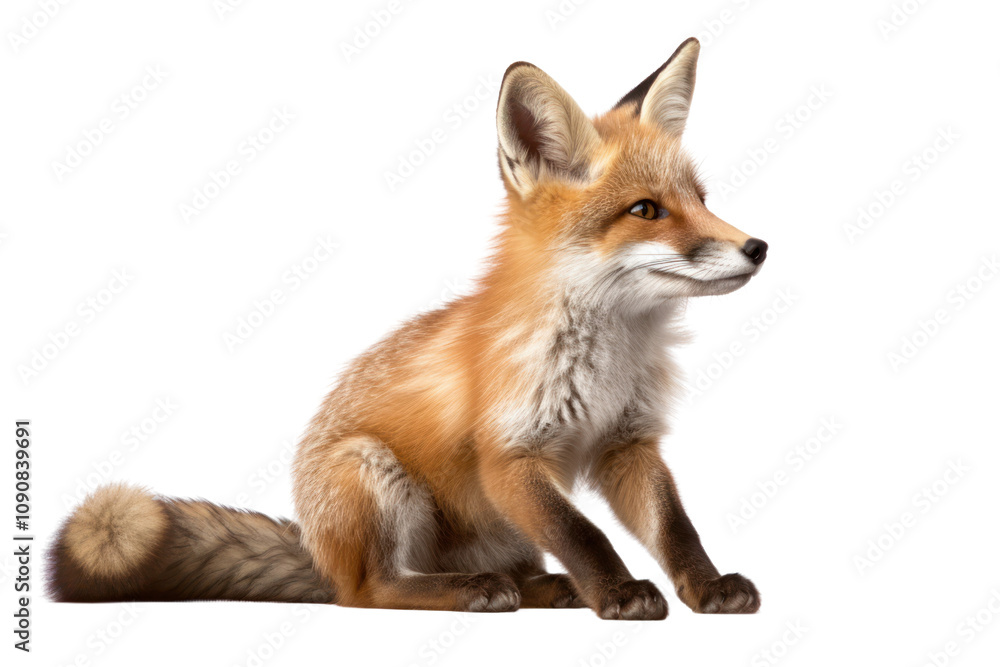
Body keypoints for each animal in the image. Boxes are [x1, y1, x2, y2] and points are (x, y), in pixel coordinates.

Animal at [49, 37, 767, 620]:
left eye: (702, 200)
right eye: (646, 211)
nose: (758, 247)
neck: (610, 356)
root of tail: (318, 550)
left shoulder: (627, 443)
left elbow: (676, 528)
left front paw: (705, 586)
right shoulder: (510, 455)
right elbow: (583, 533)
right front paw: (618, 592)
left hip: (497, 528)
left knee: (514, 570)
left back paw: (538, 588)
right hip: (373, 475)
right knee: (373, 589)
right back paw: (470, 591)